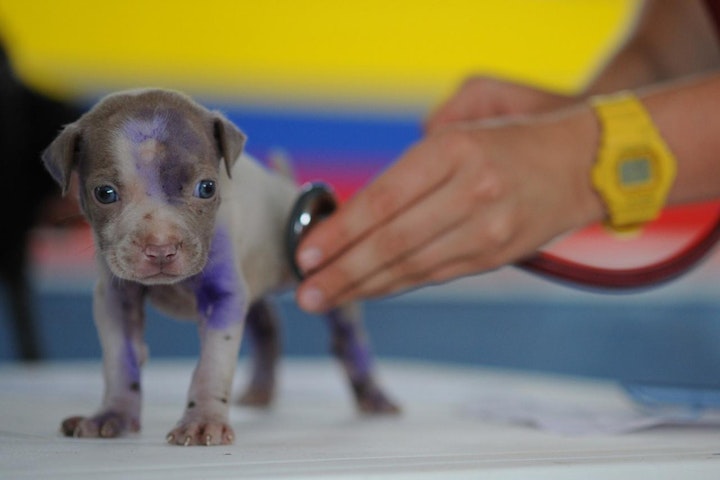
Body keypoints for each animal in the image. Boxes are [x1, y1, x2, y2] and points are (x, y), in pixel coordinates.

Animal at [43, 89, 400, 446]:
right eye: (104, 193)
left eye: (207, 188)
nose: (161, 248)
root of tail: (285, 186)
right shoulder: (116, 299)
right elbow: (121, 360)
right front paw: (113, 415)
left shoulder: (224, 297)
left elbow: (211, 366)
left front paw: (202, 421)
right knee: (268, 324)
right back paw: (260, 390)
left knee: (347, 337)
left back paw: (374, 396)